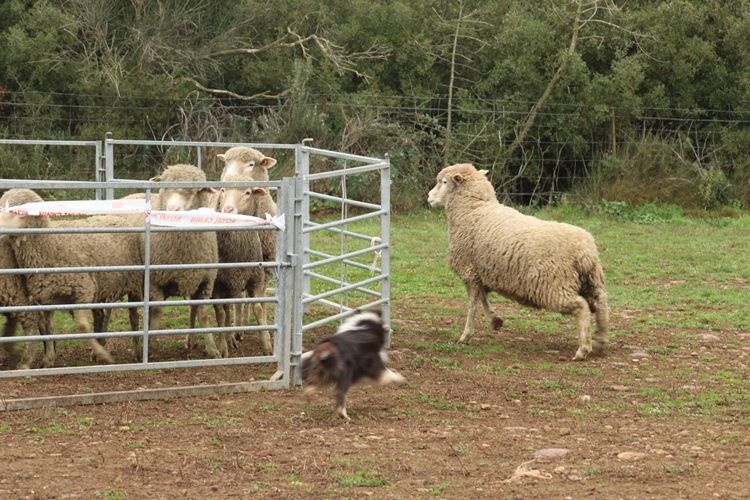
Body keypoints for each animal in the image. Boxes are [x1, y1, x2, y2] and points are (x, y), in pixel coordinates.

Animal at [428, 164, 612, 360]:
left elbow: (472, 305)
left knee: (582, 307)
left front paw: (466, 335)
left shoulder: (469, 271)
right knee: (601, 304)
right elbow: (483, 296)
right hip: (592, 281)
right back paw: (600, 341)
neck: (474, 209)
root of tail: (584, 252)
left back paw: (583, 349)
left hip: (556, 286)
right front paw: (495, 321)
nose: (429, 197)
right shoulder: (481, 271)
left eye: (444, 182)